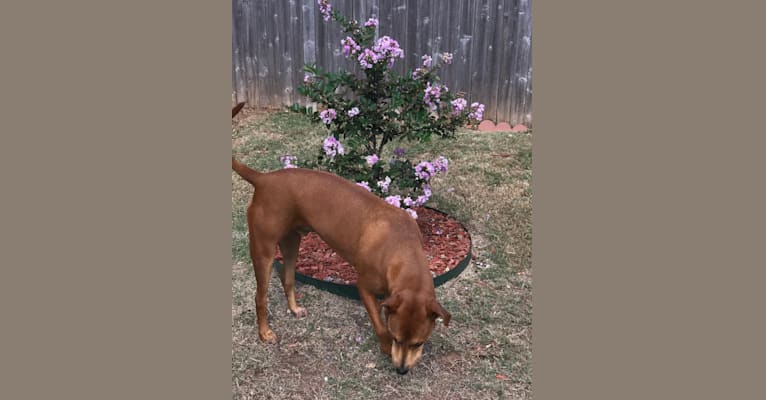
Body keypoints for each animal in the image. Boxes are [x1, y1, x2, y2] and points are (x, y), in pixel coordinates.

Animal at [232, 104, 450, 376]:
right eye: (396, 337)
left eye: (419, 343)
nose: (401, 370)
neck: (402, 247)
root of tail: (264, 178)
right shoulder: (364, 288)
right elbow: (379, 324)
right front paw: (385, 347)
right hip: (263, 250)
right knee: (260, 296)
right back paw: (265, 333)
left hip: (292, 243)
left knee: (288, 279)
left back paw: (294, 308)